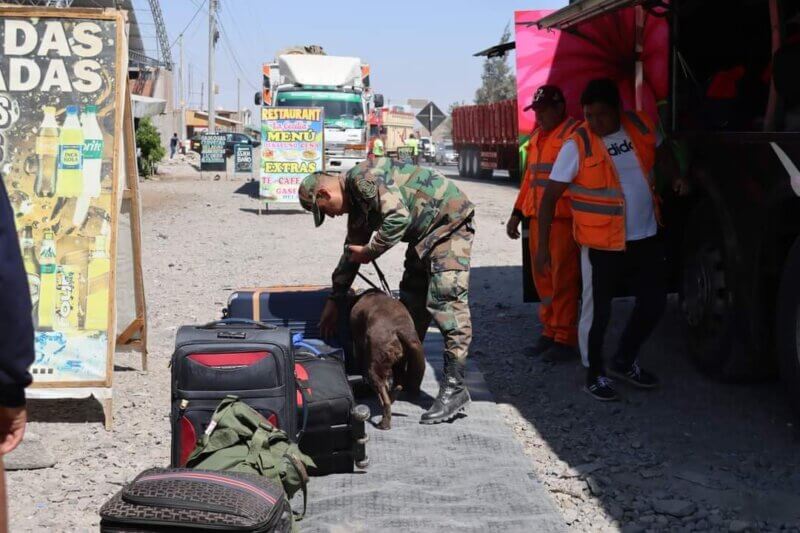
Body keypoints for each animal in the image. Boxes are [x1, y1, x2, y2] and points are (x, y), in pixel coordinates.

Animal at [348, 288, 424, 430]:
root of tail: (400, 329)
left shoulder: (358, 345)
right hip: (399, 362)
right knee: (398, 384)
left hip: (375, 366)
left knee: (385, 397)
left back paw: (384, 423)